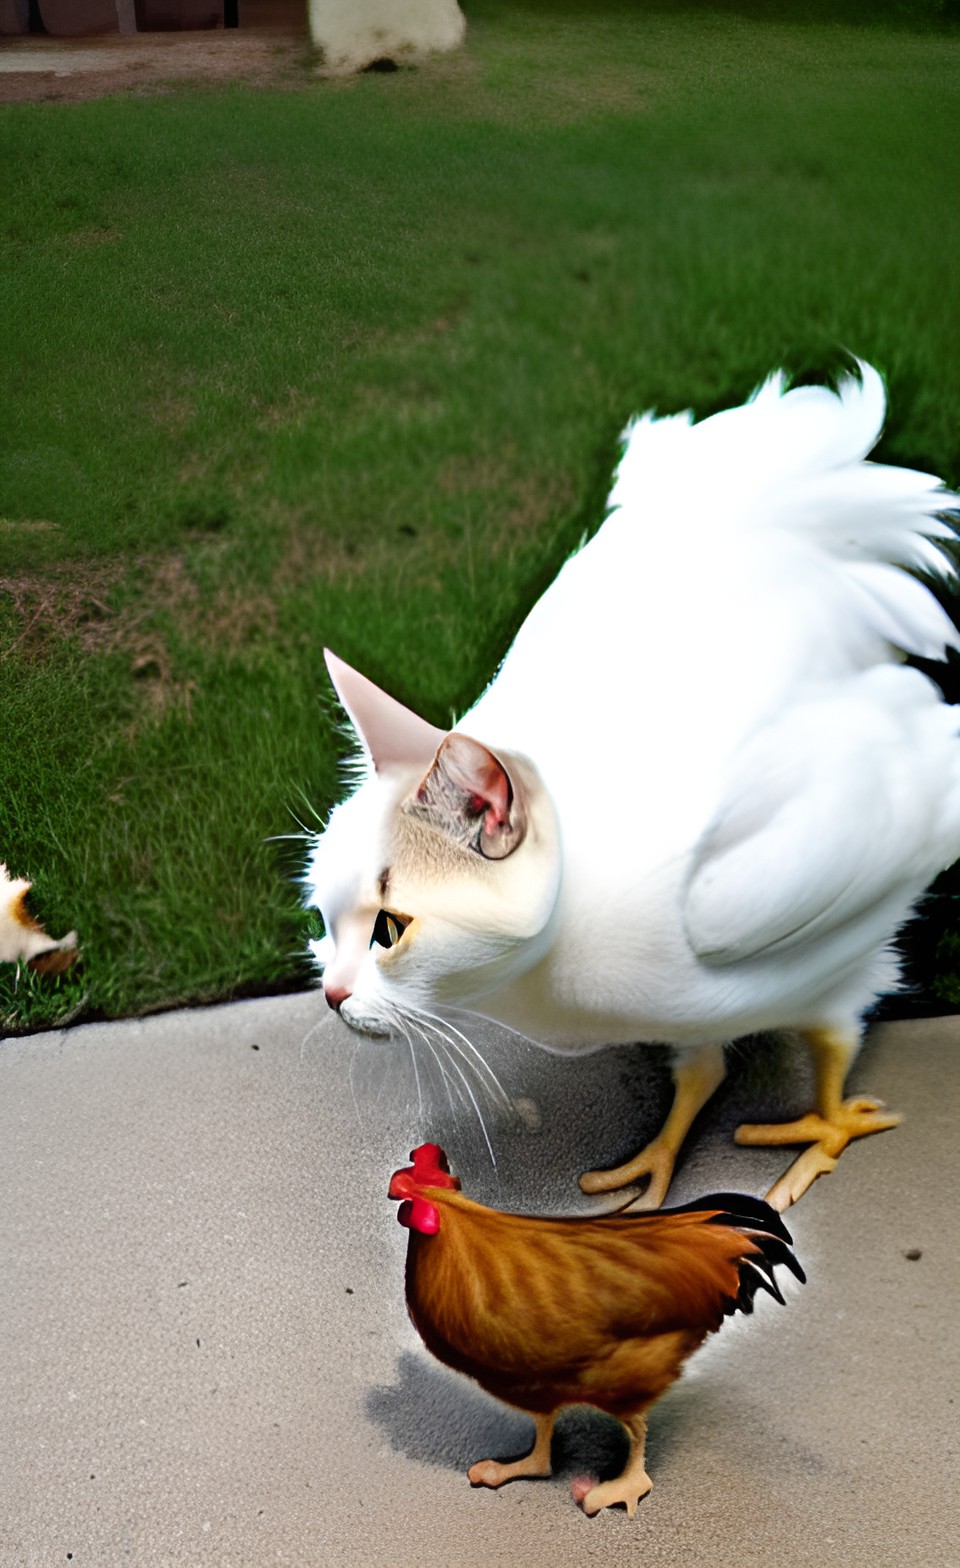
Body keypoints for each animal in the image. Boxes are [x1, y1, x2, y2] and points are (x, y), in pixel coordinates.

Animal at [307, 363, 960, 1210]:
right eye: (321, 918)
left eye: (390, 928)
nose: (331, 994)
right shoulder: (682, 1017)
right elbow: (700, 1073)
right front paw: (653, 1167)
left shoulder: (836, 983)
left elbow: (830, 1047)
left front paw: (825, 1134)